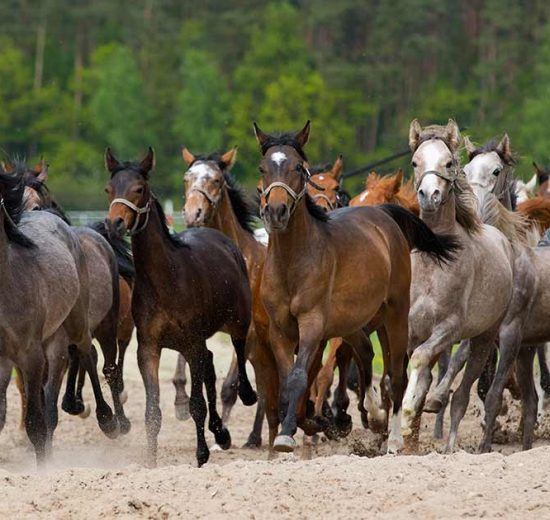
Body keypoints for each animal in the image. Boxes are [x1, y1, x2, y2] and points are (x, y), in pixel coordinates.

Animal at [106, 147, 258, 468]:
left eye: (139, 188)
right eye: (109, 189)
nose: (114, 224)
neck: (166, 278)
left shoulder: (191, 343)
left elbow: (197, 404)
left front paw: (201, 455)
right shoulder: (148, 348)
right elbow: (153, 411)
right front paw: (151, 461)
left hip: (238, 320)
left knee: (238, 350)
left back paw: (245, 398)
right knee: (210, 364)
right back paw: (220, 432)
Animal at [256, 121, 462, 450]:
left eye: (299, 167)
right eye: (263, 167)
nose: (276, 211)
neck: (293, 261)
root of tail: (384, 216)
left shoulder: (313, 323)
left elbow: (302, 375)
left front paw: (289, 434)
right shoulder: (281, 329)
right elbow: (293, 379)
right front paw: (313, 422)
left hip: (395, 314)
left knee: (396, 374)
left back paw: (393, 439)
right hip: (353, 321)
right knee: (365, 354)